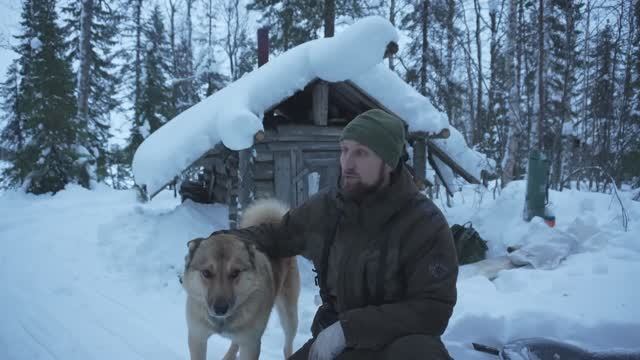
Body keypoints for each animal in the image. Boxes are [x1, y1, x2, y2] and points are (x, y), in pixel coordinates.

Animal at [180, 200, 300, 360]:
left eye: (235, 272)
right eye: (206, 273)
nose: (220, 309)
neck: (223, 321)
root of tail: (272, 220)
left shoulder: (251, 344)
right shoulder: (197, 337)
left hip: (289, 315)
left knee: (287, 344)